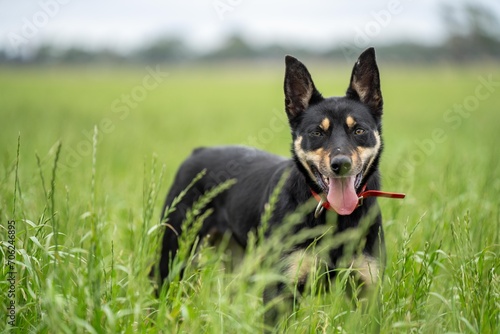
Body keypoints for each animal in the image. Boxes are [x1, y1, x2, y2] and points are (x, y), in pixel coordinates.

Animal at [154, 47, 404, 324]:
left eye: (359, 130)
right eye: (317, 133)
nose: (341, 164)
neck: (334, 218)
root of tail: (198, 152)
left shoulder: (367, 289)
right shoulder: (280, 292)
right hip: (174, 255)